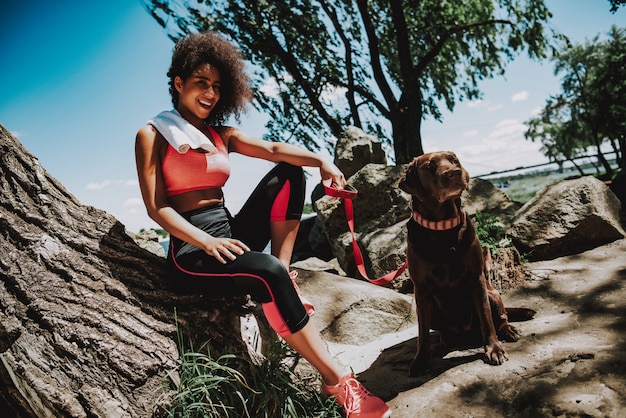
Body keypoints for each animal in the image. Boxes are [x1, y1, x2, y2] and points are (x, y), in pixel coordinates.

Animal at [398, 152, 524, 378]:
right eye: (429, 166)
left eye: (454, 160)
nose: (455, 172)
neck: (442, 228)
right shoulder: (421, 290)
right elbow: (422, 332)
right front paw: (421, 360)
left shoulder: (476, 279)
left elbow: (486, 319)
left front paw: (494, 350)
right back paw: (446, 339)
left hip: (492, 294)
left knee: (501, 316)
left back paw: (508, 330)